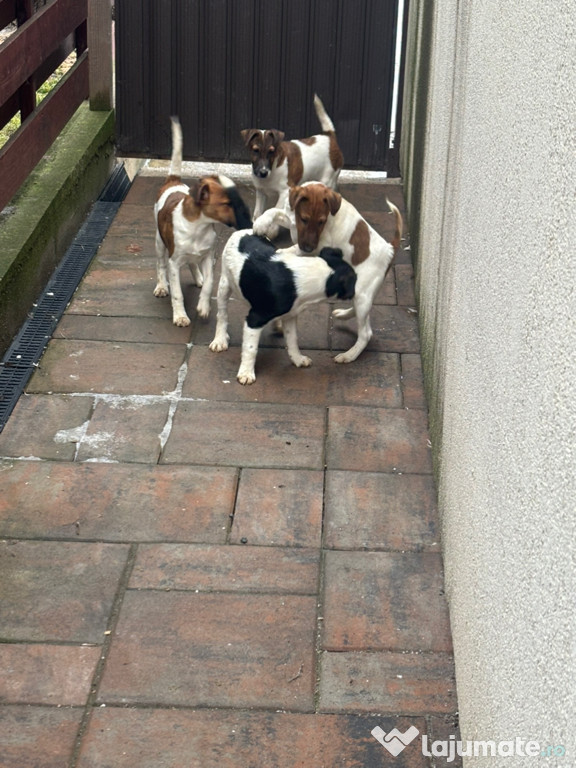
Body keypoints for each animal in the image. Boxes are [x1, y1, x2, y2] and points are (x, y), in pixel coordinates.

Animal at [154, 117, 252, 326]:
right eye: (226, 203)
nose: (248, 220)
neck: (198, 227)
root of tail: (173, 181)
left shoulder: (208, 257)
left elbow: (209, 284)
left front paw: (203, 307)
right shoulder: (174, 263)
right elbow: (177, 293)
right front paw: (180, 316)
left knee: (192, 263)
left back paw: (197, 278)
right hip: (159, 242)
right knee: (160, 265)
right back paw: (161, 286)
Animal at [209, 230, 357, 384]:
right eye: (354, 280)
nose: (356, 292)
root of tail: (244, 230)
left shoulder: (291, 315)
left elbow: (292, 340)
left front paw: (297, 359)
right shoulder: (254, 319)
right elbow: (251, 349)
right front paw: (246, 373)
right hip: (224, 285)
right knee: (222, 315)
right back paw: (219, 340)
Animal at [252, 182, 402, 363]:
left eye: (321, 222)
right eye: (304, 219)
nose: (307, 248)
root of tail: (390, 249)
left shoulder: (319, 245)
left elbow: (298, 248)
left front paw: (286, 251)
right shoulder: (292, 221)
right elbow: (274, 211)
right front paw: (261, 223)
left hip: (362, 293)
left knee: (366, 333)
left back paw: (348, 355)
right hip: (360, 292)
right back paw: (343, 315)